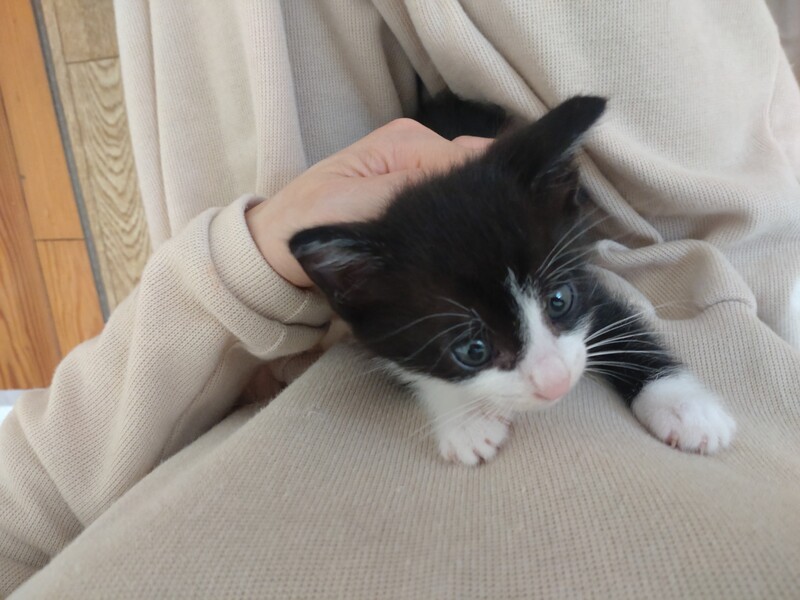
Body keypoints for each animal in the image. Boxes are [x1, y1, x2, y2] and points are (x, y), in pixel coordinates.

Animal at [289, 94, 736, 466]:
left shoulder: (584, 281)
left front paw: (683, 406)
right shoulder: (365, 327)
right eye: (473, 350)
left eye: (559, 300)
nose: (556, 384)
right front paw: (466, 421)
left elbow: (620, 325)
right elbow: (405, 366)